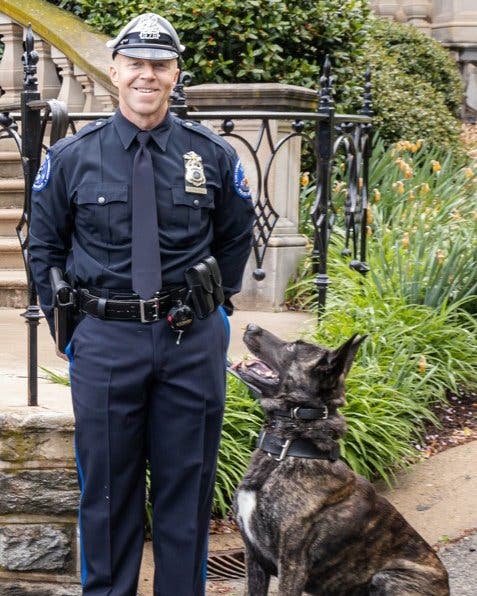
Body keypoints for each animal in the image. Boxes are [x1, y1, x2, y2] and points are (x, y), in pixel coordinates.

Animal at [232, 324, 449, 596]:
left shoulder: (292, 565)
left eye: (293, 347)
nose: (250, 326)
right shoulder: (253, 557)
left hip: (388, 578)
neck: (288, 449)